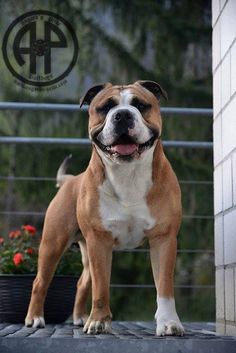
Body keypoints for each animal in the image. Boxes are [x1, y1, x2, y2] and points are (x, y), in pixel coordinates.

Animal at [25, 80, 184, 336]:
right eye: (105, 107)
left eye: (140, 105)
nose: (122, 115)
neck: (128, 174)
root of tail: (70, 180)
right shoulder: (99, 242)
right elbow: (101, 288)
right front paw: (98, 322)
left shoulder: (164, 239)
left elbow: (164, 287)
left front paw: (169, 323)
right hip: (53, 243)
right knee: (41, 281)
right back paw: (35, 318)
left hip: (84, 249)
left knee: (82, 282)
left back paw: (79, 317)